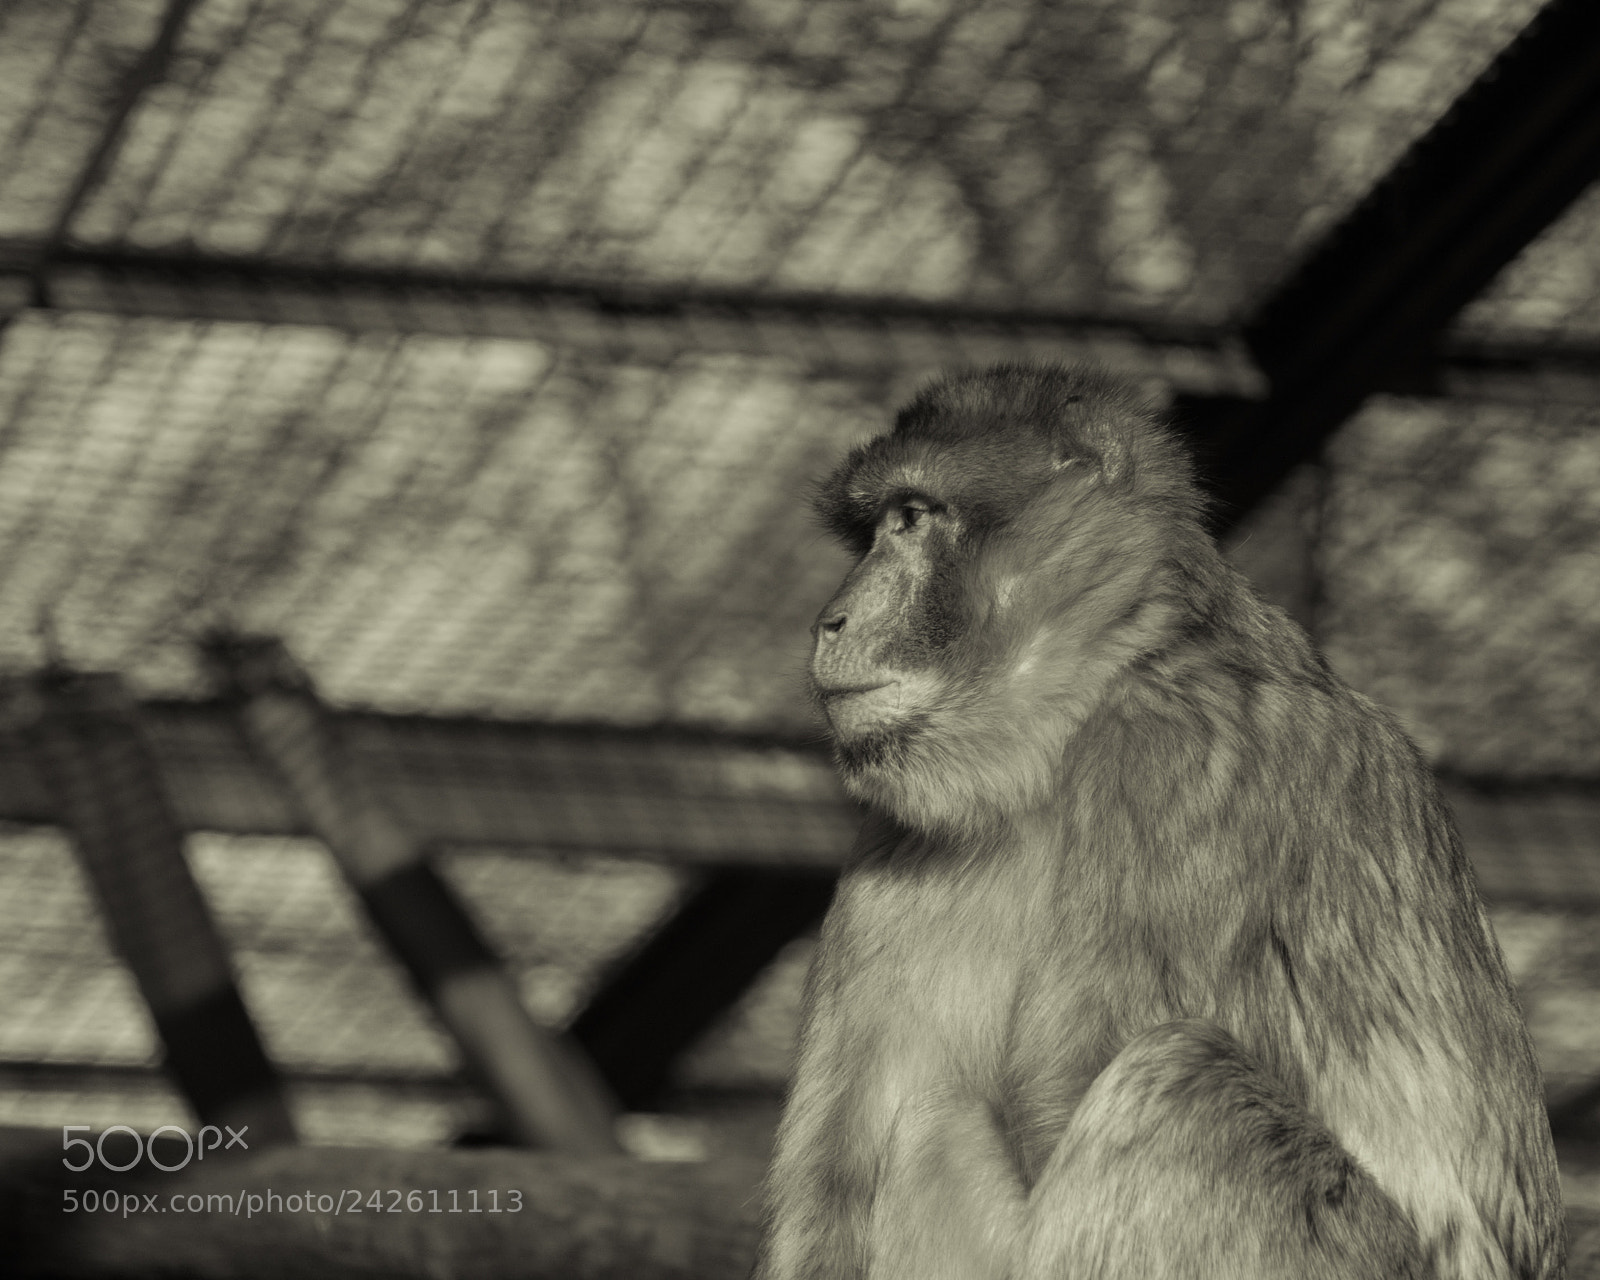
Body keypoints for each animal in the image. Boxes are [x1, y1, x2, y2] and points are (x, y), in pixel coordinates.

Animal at [754, 364, 1564, 1280]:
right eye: (870, 531)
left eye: (910, 518)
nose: (830, 619)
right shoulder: (894, 837)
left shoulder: (1172, 750)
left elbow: (1063, 1101)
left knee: (1182, 1085)